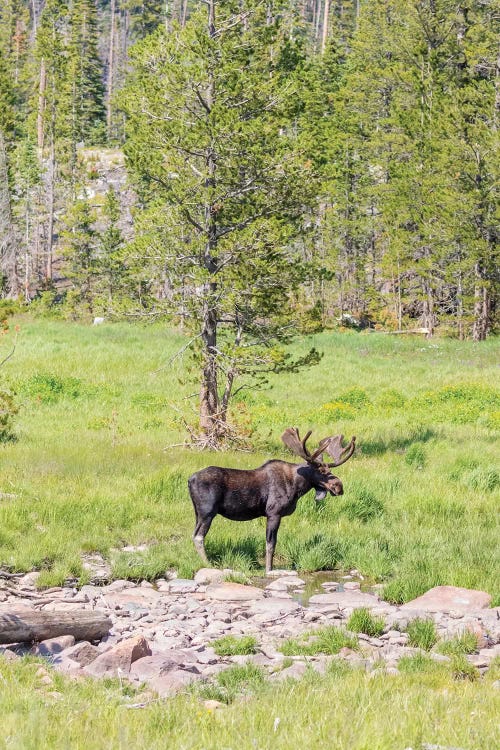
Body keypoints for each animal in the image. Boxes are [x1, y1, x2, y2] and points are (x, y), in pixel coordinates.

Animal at [188, 428, 356, 576]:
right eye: (321, 471)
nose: (339, 486)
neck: (297, 487)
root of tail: (190, 480)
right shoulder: (273, 513)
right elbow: (271, 544)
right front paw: (269, 569)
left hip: (197, 512)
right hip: (207, 511)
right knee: (198, 536)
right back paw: (208, 563)